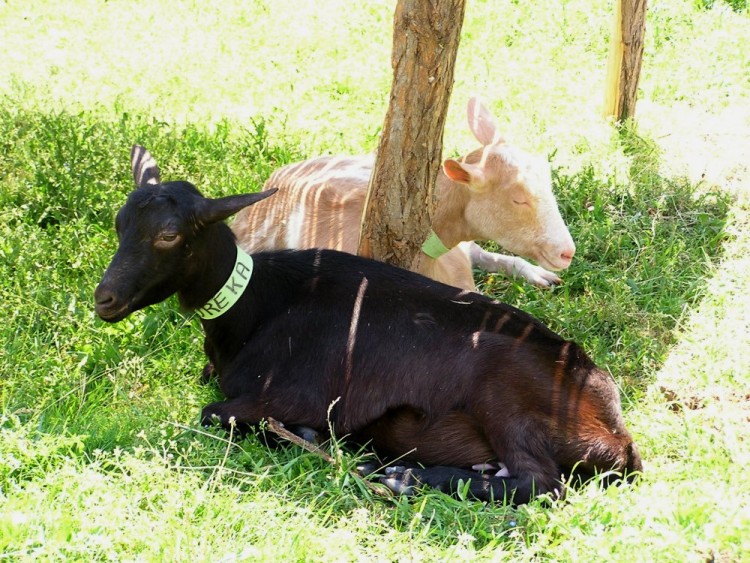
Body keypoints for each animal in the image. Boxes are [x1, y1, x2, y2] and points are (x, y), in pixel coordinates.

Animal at [95, 148, 648, 504]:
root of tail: (617, 430)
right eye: (120, 223)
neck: (254, 307)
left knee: (540, 483)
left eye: (169, 235)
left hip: (505, 397)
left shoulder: (290, 394)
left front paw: (307, 435)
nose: (105, 299)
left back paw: (403, 478)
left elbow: (214, 413)